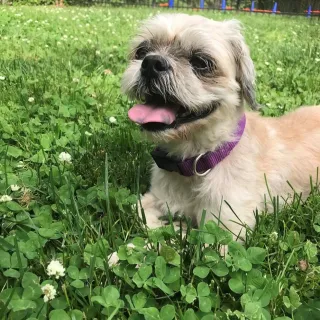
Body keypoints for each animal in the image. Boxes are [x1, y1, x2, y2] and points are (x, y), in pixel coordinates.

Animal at [121, 13, 318, 241]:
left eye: (201, 62)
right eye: (141, 51)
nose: (152, 62)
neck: (198, 159)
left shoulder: (226, 229)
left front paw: (179, 229)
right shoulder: (155, 197)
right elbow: (138, 211)